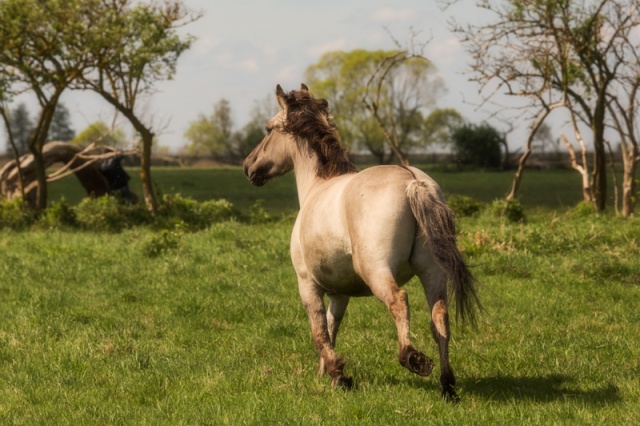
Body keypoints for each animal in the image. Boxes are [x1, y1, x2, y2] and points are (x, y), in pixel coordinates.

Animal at [242, 85, 478, 402]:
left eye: (269, 129)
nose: (248, 166)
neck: (318, 186)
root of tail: (412, 181)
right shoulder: (339, 294)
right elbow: (332, 328)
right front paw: (329, 375)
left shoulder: (307, 285)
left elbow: (319, 332)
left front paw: (340, 376)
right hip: (433, 272)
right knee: (439, 317)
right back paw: (447, 386)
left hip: (377, 270)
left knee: (399, 301)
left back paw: (413, 359)